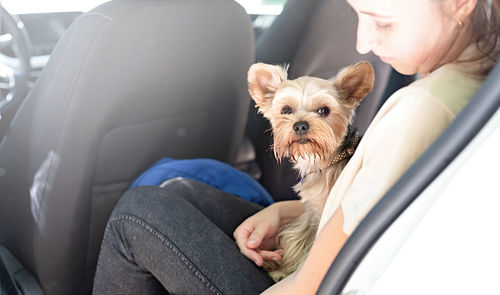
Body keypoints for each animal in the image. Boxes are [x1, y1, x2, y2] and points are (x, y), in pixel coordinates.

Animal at [248, 60, 374, 282]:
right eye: (286, 110)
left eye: (324, 110)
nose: (299, 125)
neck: (328, 159)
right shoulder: (313, 212)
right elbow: (297, 241)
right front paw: (282, 264)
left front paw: (281, 272)